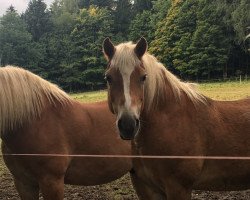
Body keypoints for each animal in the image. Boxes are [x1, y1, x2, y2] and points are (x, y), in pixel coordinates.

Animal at [102, 38, 250, 200]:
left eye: (143, 77)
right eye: (108, 78)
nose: (128, 125)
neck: (171, 121)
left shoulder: (178, 188)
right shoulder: (146, 189)